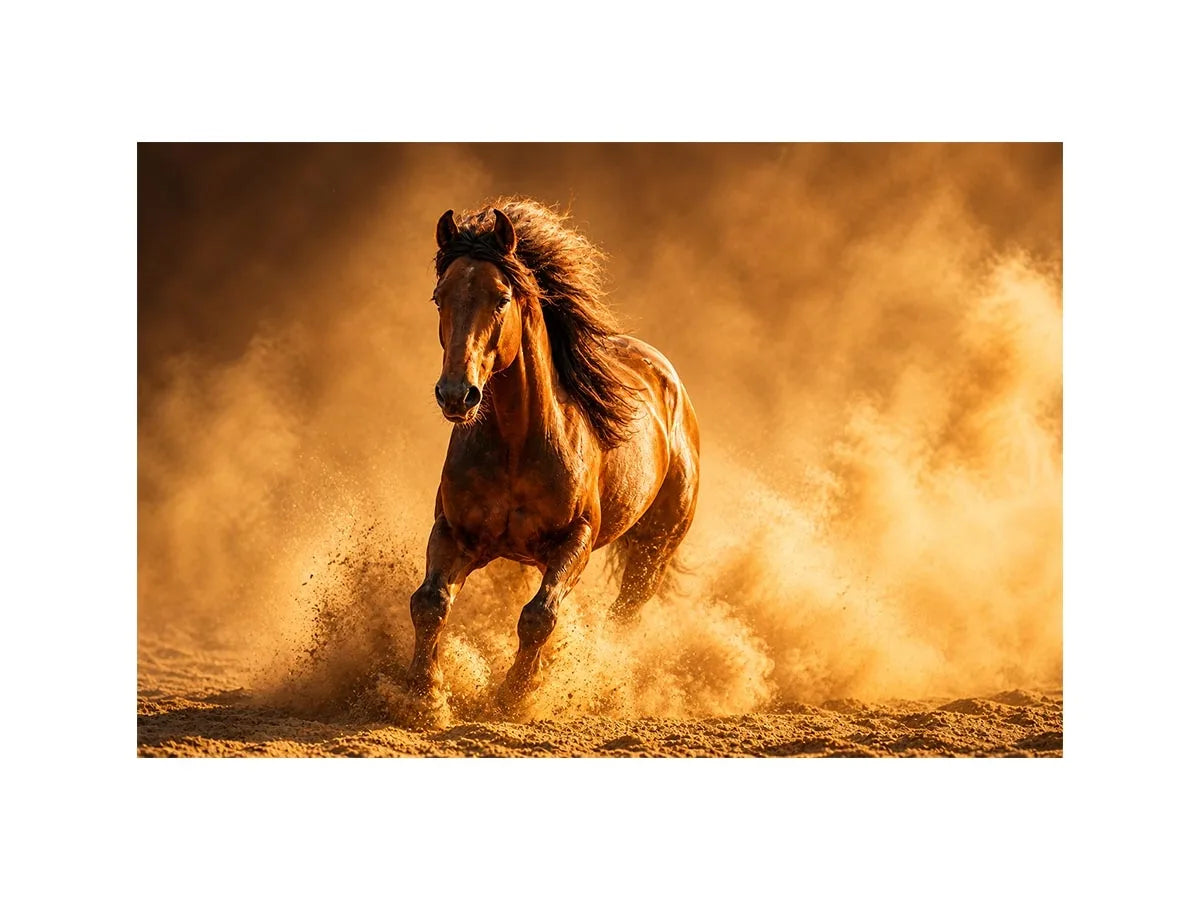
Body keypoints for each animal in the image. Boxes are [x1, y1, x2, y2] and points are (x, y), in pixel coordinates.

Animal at [408, 198, 700, 711]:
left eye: (501, 298)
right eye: (440, 297)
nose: (456, 394)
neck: (516, 443)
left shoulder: (575, 538)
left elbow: (539, 615)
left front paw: (513, 696)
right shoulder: (454, 532)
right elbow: (430, 603)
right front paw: (425, 695)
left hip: (653, 551)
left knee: (621, 617)